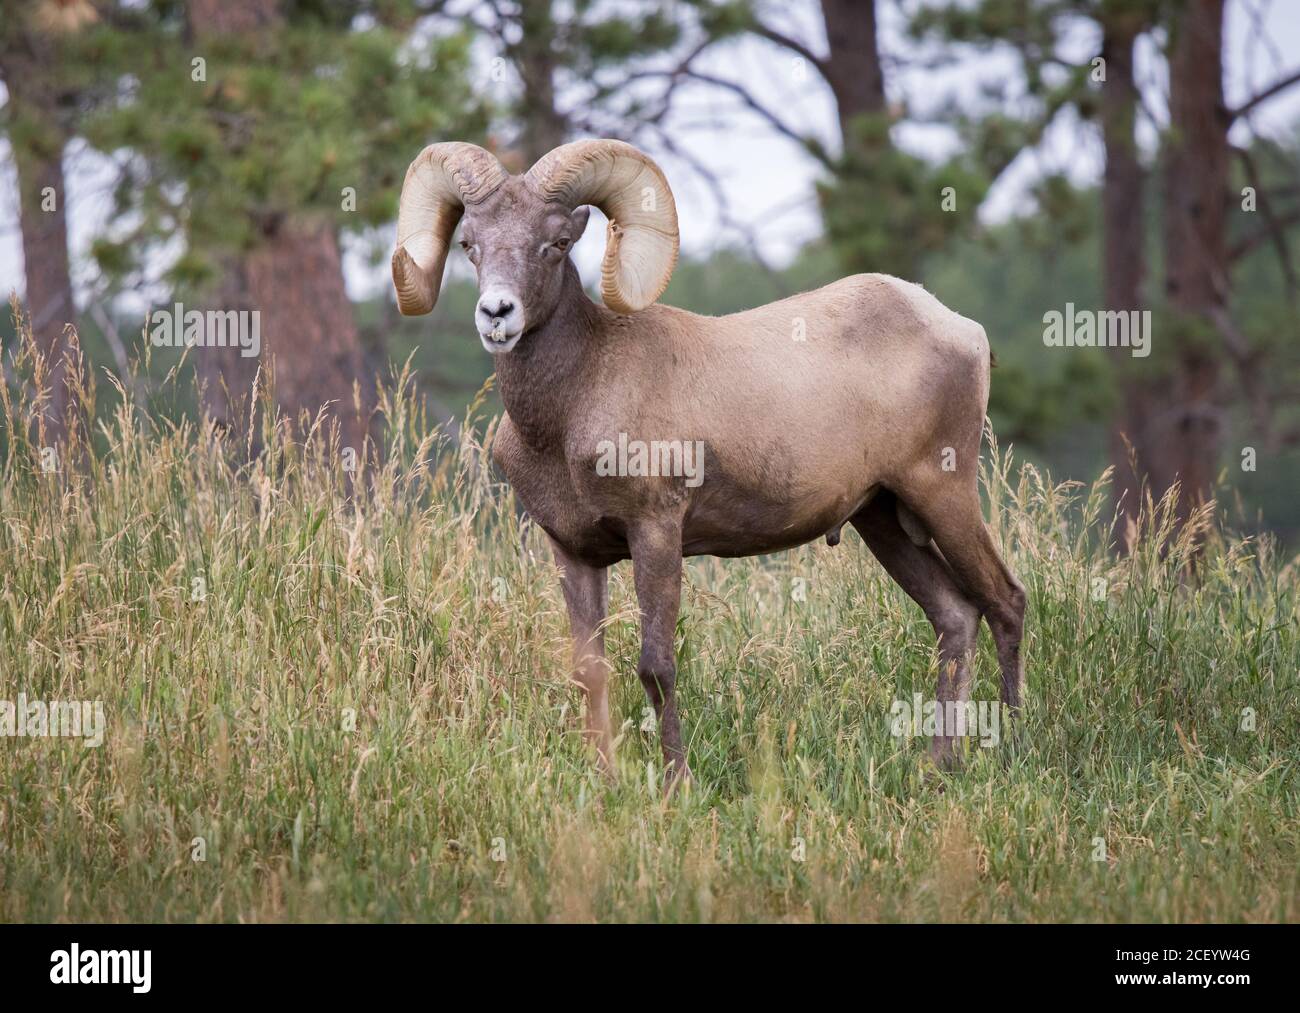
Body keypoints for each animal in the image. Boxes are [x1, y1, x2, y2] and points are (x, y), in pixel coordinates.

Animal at [390, 138, 1019, 780]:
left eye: (558, 242)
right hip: (882, 520)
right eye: (470, 245)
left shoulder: (656, 534)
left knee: (1005, 602)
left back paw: (1012, 744)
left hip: (941, 494)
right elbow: (590, 671)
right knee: (955, 617)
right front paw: (605, 778)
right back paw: (939, 765)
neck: (568, 413)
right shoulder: (573, 551)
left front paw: (677, 782)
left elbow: (656, 666)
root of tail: (963, 330)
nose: (497, 313)